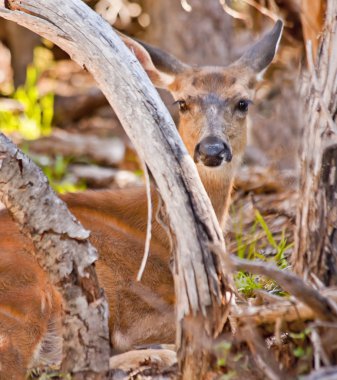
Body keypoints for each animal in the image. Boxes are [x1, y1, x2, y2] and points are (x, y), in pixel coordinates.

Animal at [0, 21, 280, 380]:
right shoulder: (137, 309)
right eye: (182, 103)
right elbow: (233, 315)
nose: (212, 149)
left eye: (243, 103)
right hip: (26, 291)